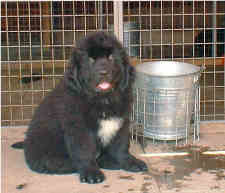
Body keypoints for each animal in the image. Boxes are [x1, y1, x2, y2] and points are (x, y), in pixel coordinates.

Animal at [12, 31, 148, 184]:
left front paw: (130, 162)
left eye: (111, 57)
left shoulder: (121, 122)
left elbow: (121, 146)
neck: (103, 99)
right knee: (53, 163)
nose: (103, 72)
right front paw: (91, 173)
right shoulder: (79, 127)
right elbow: (84, 150)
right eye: (90, 59)